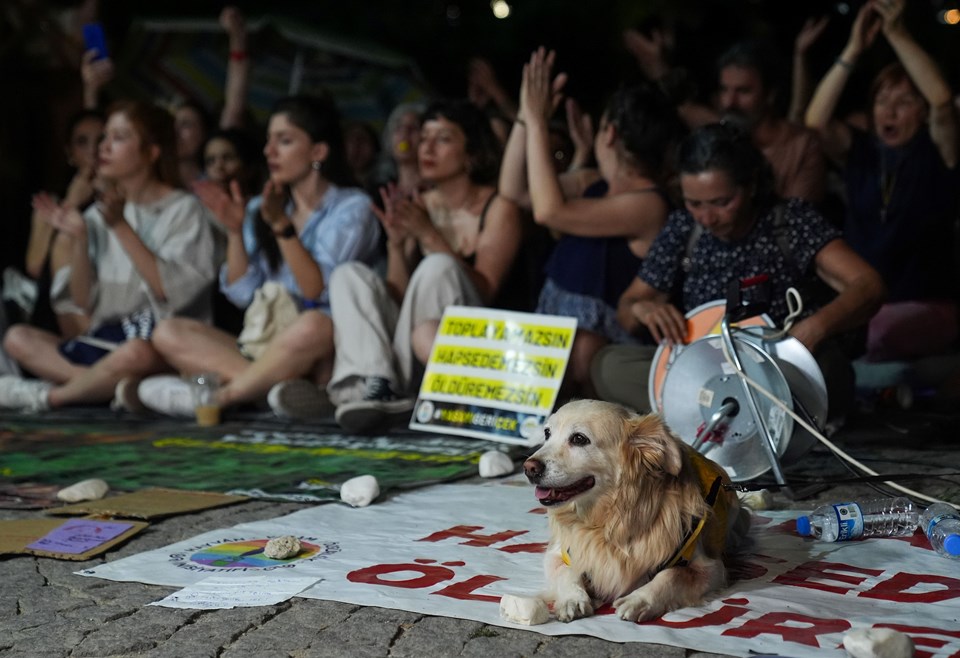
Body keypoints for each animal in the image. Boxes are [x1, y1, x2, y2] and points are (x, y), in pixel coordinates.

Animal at [520, 398, 748, 616]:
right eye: (547, 433)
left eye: (579, 439)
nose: (528, 468)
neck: (609, 519)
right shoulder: (558, 553)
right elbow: (567, 572)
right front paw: (573, 599)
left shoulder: (711, 569)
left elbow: (671, 575)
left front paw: (640, 600)